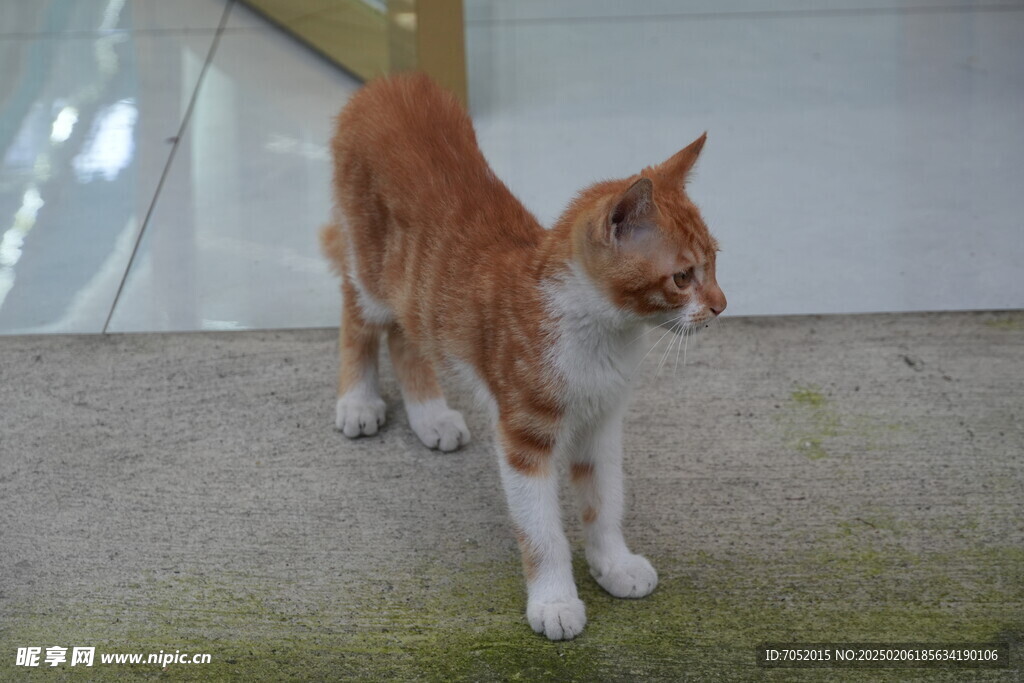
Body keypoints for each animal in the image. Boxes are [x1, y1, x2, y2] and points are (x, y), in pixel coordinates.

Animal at [321, 74, 729, 643]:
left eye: (715, 262)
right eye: (683, 277)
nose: (720, 305)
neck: (602, 334)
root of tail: (388, 83)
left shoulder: (602, 423)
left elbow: (605, 501)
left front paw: (614, 563)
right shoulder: (524, 435)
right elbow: (541, 530)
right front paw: (554, 601)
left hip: (416, 292)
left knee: (408, 334)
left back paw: (429, 414)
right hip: (371, 265)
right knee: (358, 312)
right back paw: (358, 399)